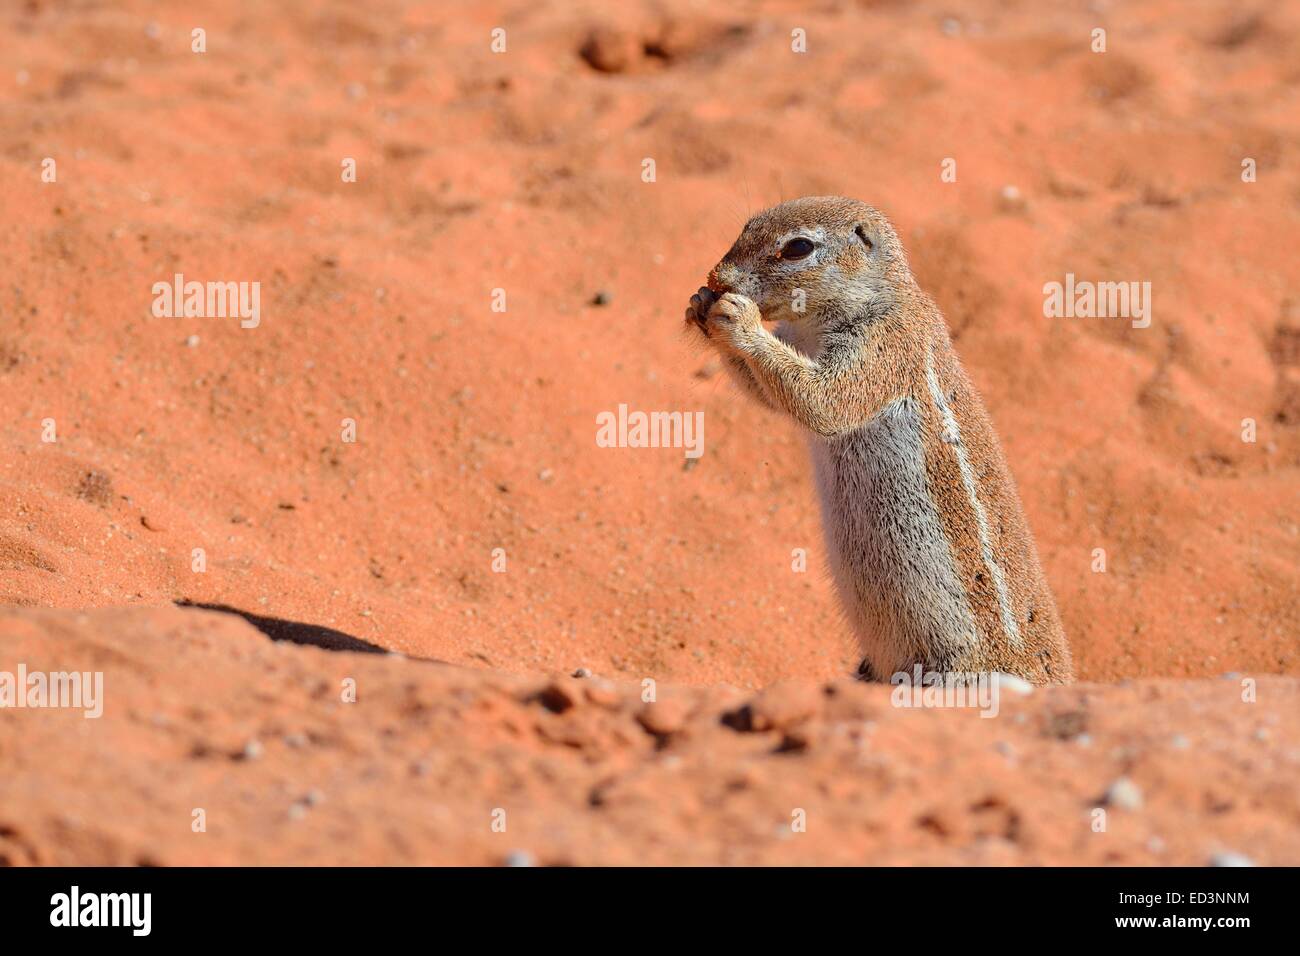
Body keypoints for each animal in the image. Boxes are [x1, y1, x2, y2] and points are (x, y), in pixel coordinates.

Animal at [691, 197, 1076, 686]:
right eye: (748, 224)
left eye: (798, 247)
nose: (716, 276)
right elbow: (768, 395)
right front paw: (700, 304)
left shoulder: (884, 346)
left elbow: (823, 402)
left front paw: (736, 318)